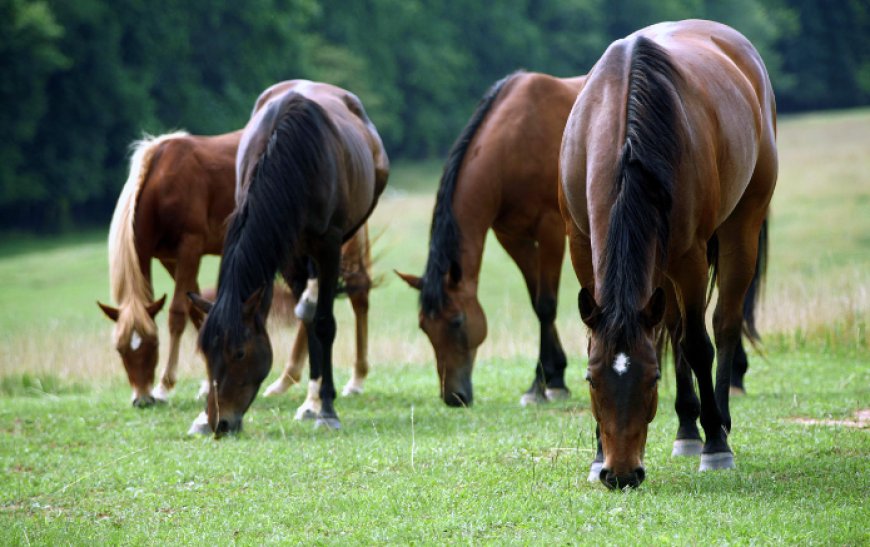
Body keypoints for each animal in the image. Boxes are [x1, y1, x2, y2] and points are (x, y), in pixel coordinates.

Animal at [99, 130, 374, 412]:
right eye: (119, 349)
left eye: (153, 343)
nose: (142, 398)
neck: (161, 181)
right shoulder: (169, 258)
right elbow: (198, 310)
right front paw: (207, 382)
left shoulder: (190, 247)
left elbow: (177, 314)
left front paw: (165, 387)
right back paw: (286, 381)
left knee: (357, 292)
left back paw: (354, 380)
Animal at [192, 80, 392, 436]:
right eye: (205, 352)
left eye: (239, 353)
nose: (221, 423)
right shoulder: (285, 251)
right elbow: (309, 319)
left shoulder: (328, 245)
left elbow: (324, 323)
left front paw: (327, 409)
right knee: (307, 312)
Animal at [398, 70, 588, 408]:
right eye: (423, 326)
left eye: (457, 321)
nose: (454, 397)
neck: (515, 144)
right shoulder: (512, 237)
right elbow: (535, 301)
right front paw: (554, 376)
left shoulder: (551, 230)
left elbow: (546, 304)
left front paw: (541, 386)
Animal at [564, 20, 780, 488]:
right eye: (591, 379)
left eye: (652, 378)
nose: (621, 474)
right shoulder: (581, 246)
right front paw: (596, 453)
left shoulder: (690, 257)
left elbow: (698, 345)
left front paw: (716, 445)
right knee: (676, 325)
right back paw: (686, 429)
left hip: (740, 228)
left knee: (723, 325)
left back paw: (718, 424)